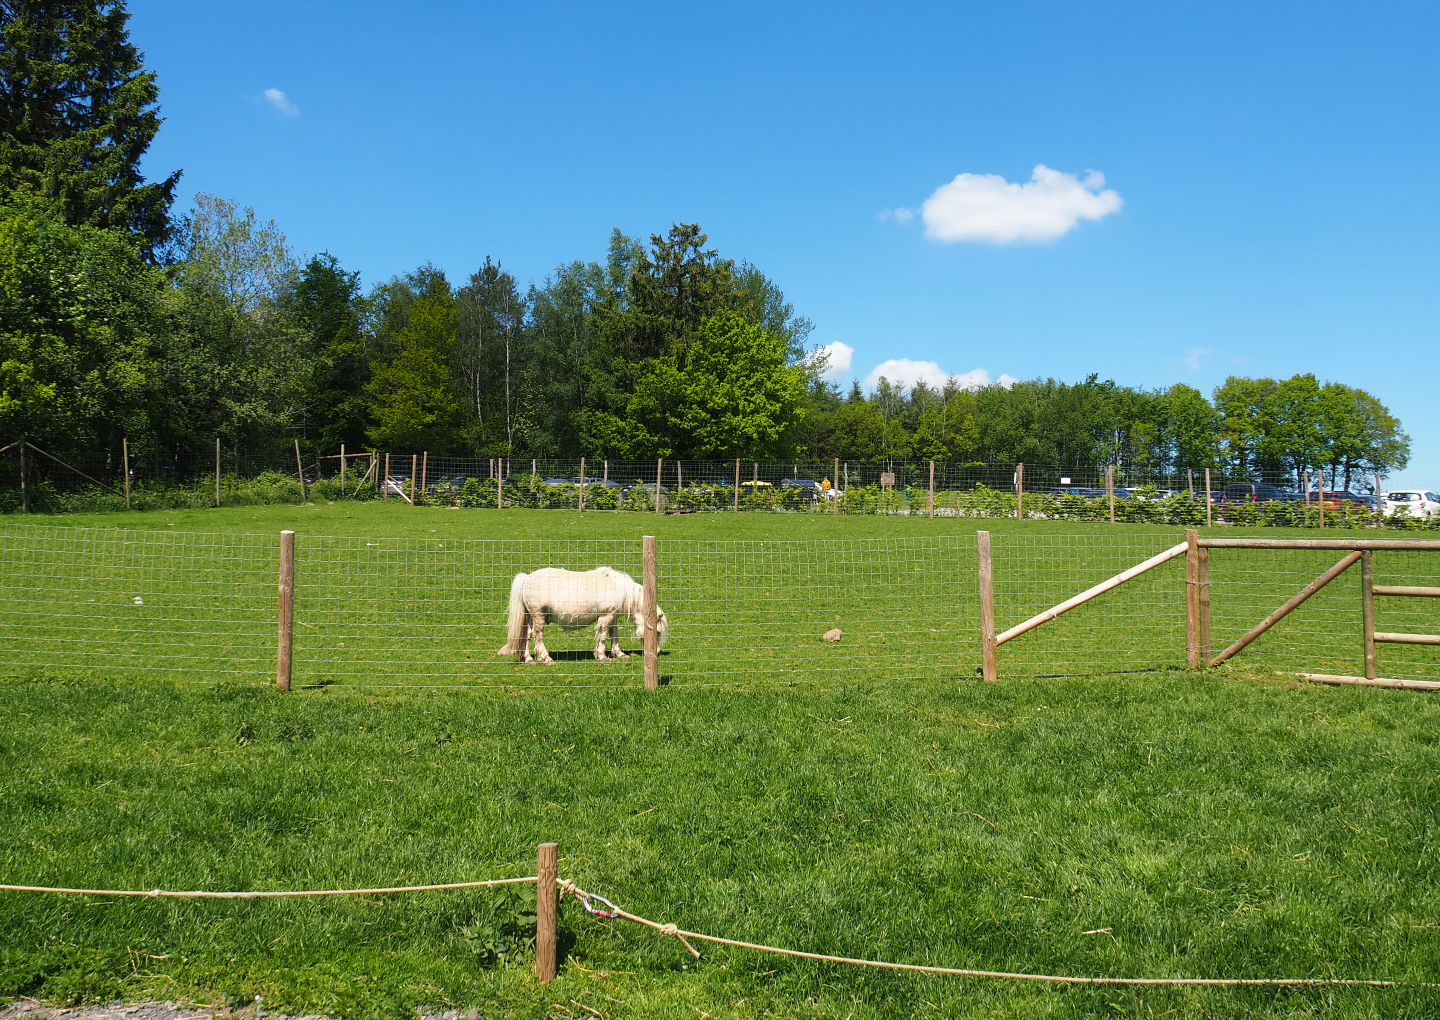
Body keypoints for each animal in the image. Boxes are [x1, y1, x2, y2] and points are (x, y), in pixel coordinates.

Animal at [496, 566, 668, 664]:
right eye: (658, 632)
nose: (657, 652)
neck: (621, 589)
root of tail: (526, 578)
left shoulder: (611, 616)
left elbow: (614, 635)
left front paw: (619, 654)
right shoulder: (605, 617)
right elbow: (603, 636)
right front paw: (602, 656)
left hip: (531, 616)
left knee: (526, 635)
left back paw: (528, 658)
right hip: (539, 615)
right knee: (537, 636)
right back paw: (546, 658)